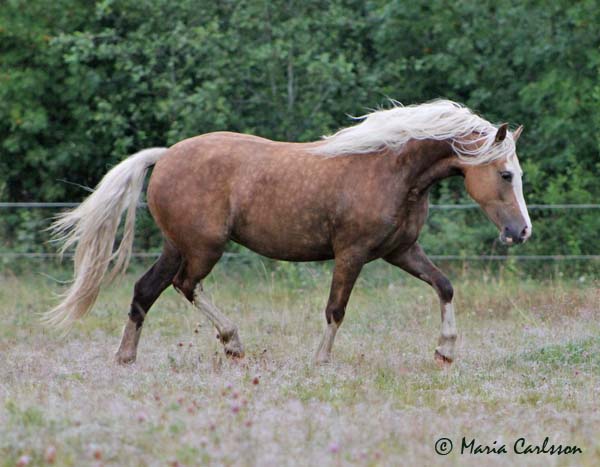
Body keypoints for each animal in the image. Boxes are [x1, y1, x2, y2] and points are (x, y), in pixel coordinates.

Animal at [48, 100, 536, 368]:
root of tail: (165, 156)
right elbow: (336, 309)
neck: (392, 171)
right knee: (185, 285)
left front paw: (445, 351)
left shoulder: (401, 251)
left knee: (145, 291)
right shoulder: (351, 252)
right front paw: (321, 360)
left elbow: (445, 286)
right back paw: (233, 342)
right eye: (506, 174)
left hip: (177, 245)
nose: (521, 231)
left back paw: (126, 357)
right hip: (204, 248)